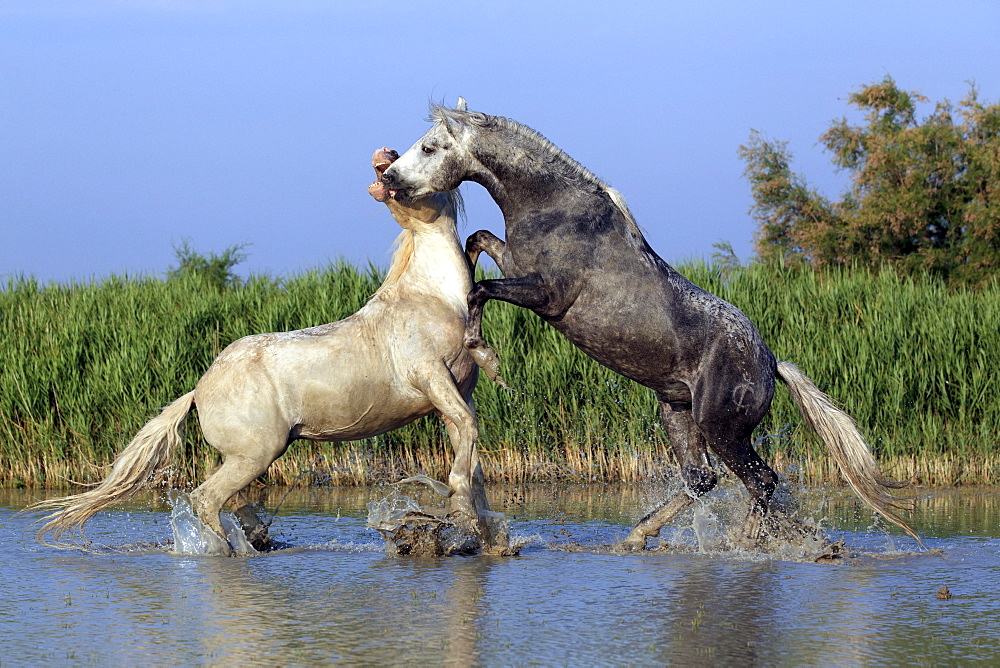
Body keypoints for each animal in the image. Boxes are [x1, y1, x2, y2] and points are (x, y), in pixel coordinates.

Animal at [35, 149, 504, 556]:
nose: (384, 157)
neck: (434, 297)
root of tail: (199, 389)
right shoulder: (430, 375)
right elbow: (468, 439)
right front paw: (454, 506)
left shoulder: (457, 394)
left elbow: (472, 450)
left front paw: (485, 533)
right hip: (257, 454)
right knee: (205, 498)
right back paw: (228, 549)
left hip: (246, 455)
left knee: (224, 495)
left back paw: (257, 534)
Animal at [384, 98, 920, 548]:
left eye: (429, 147)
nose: (388, 176)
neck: (554, 208)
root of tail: (770, 363)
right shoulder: (515, 262)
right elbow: (476, 243)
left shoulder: (546, 295)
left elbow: (481, 289)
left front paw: (483, 353)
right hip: (676, 412)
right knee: (704, 480)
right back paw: (638, 537)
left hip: (724, 429)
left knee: (761, 481)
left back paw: (745, 543)